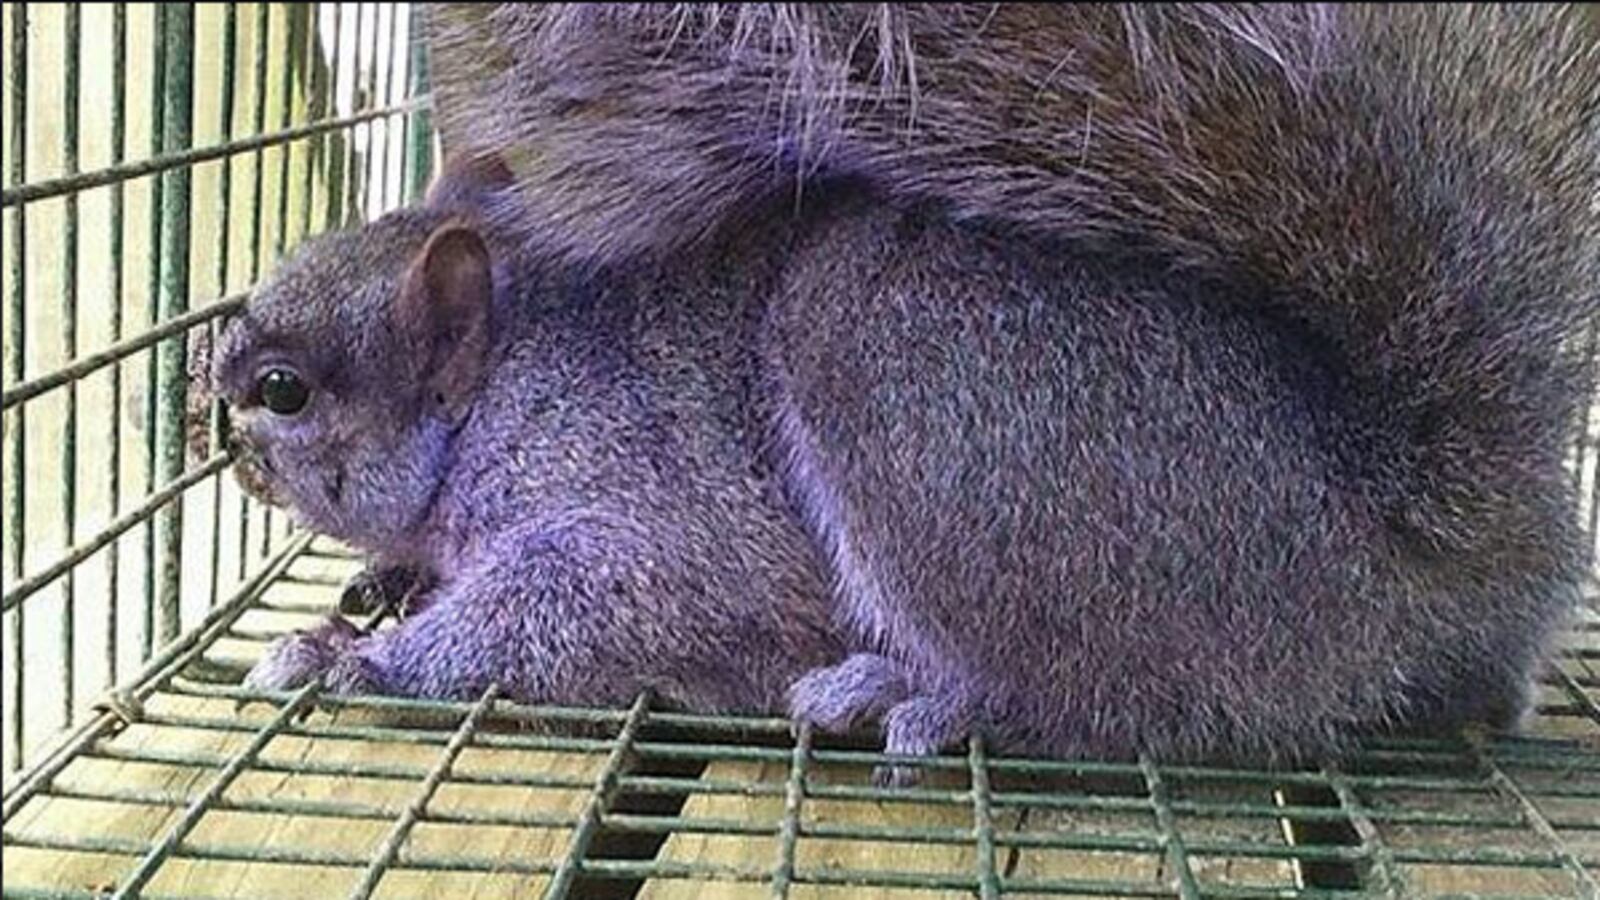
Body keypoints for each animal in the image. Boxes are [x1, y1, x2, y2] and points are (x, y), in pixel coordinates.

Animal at [191, 156, 848, 715]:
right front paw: (391, 577)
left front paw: (343, 657)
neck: (489, 402)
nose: (218, 437)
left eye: (282, 389)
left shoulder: (629, 490)